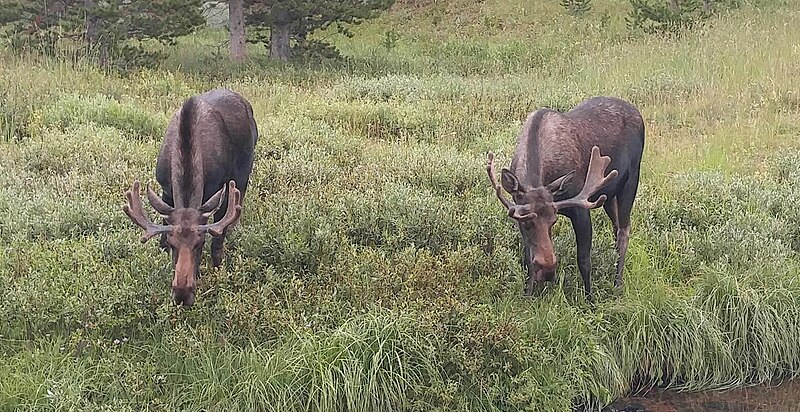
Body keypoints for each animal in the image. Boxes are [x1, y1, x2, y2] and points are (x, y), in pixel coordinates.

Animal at [123, 88, 258, 306]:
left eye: (200, 243)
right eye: (172, 243)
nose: (182, 294)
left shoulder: (220, 189)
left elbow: (218, 240)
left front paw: (216, 270)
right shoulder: (166, 190)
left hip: (244, 173)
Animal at [488, 96, 644, 302]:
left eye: (553, 221)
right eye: (526, 223)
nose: (548, 270)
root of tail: (638, 112)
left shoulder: (581, 209)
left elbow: (584, 260)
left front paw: (590, 300)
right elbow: (528, 260)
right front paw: (528, 295)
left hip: (631, 180)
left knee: (624, 230)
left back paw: (618, 283)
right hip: (609, 195)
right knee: (616, 227)